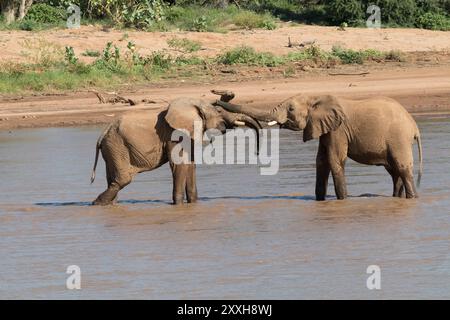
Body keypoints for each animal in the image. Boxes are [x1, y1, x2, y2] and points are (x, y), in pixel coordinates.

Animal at [90, 95, 260, 205]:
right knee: (123, 179)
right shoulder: (174, 133)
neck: (192, 103)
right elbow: (180, 165)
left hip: (112, 148)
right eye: (219, 111)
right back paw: (96, 203)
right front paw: (178, 205)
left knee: (112, 178)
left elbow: (191, 165)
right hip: (118, 146)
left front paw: (192, 204)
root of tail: (102, 134)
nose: (257, 152)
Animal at [216, 93, 424, 200]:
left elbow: (334, 160)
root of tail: (414, 127)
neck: (316, 97)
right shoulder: (324, 129)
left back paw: (412, 198)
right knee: (394, 171)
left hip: (398, 139)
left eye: (291, 109)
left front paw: (343, 200)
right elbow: (321, 162)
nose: (218, 99)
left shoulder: (338, 129)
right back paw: (397, 198)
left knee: (402, 169)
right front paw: (320, 201)